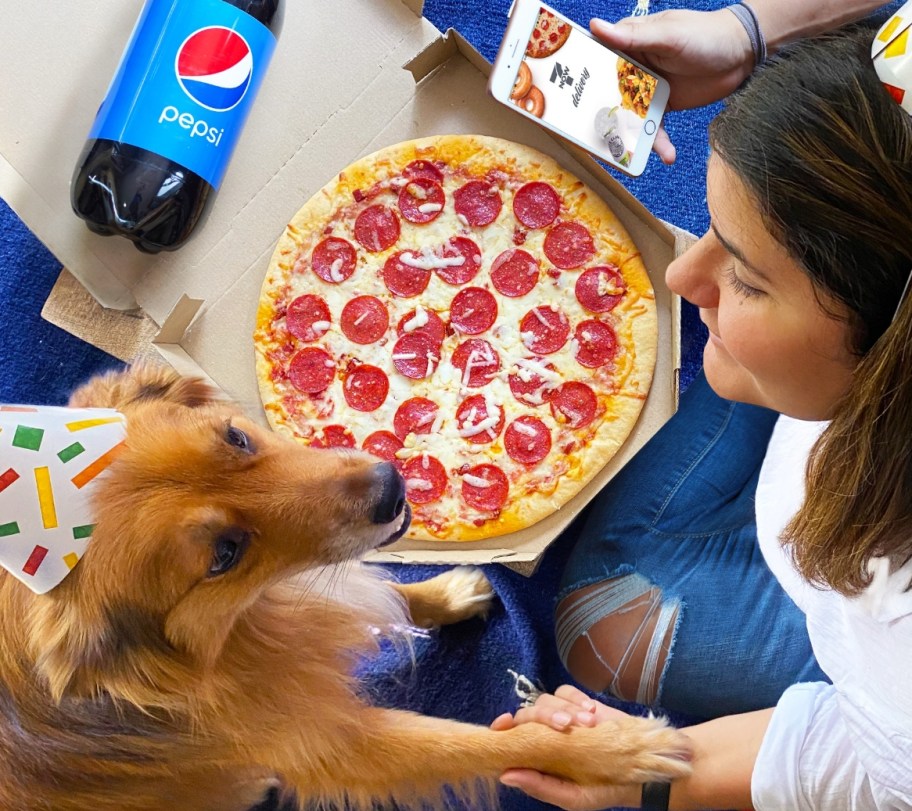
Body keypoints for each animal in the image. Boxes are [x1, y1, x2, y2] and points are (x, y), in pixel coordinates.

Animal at [0, 370, 688, 811]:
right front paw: (618, 751)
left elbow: (387, 594)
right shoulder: (336, 743)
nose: (393, 485)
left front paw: (446, 593)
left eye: (236, 438)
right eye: (224, 554)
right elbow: (483, 742)